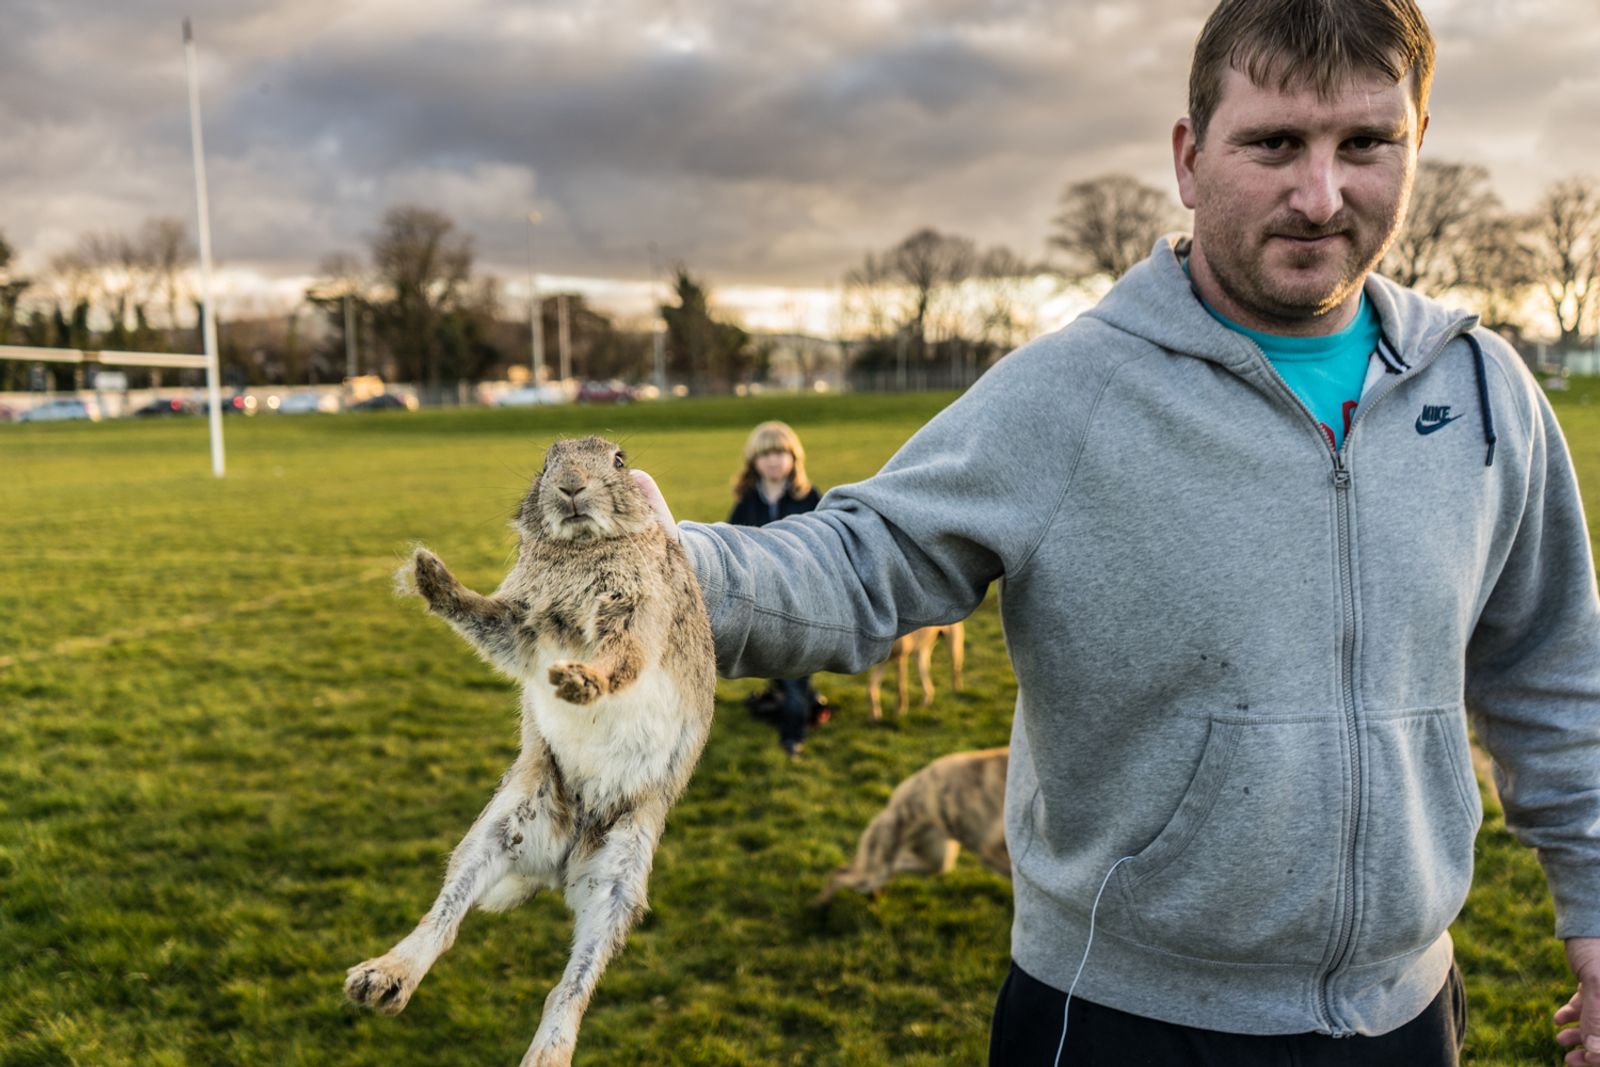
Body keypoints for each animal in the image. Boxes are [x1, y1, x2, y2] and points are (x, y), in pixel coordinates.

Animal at [347, 435, 716, 1067]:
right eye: (548, 459)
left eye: (619, 460)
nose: (570, 486)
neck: (583, 548)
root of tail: (562, 860)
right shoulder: (520, 625)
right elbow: (483, 619)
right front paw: (428, 574)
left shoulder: (637, 609)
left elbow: (621, 660)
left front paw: (577, 683)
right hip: (503, 825)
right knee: (445, 919)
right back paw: (383, 979)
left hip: (620, 874)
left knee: (572, 984)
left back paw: (547, 1054)